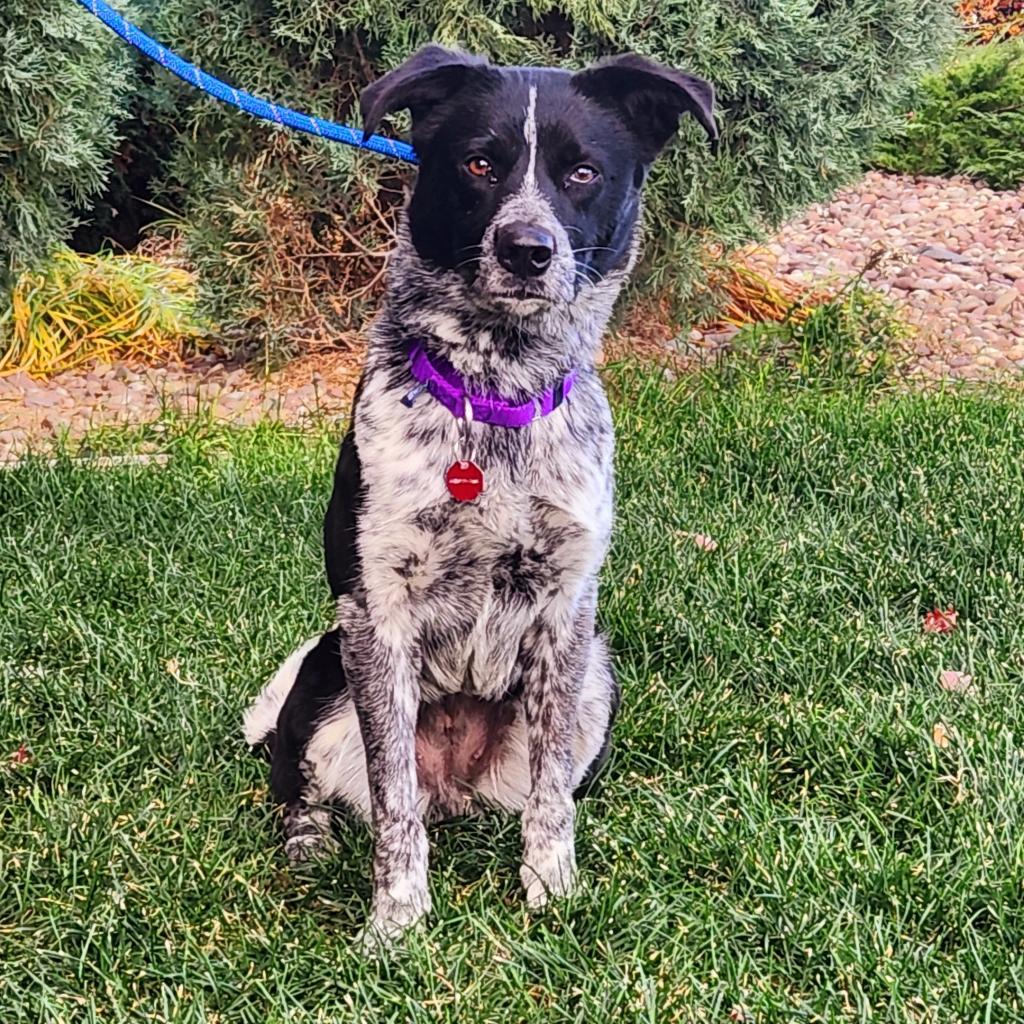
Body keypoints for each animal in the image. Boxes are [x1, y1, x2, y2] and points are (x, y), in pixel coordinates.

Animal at [242, 48, 716, 942]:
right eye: (479, 164)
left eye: (582, 172)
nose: (528, 248)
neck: (497, 391)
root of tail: (455, 788)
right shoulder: (375, 615)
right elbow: (394, 799)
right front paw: (395, 923)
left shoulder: (568, 613)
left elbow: (551, 796)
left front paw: (551, 889)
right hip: (324, 671)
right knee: (305, 788)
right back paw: (310, 843)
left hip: (600, 678)